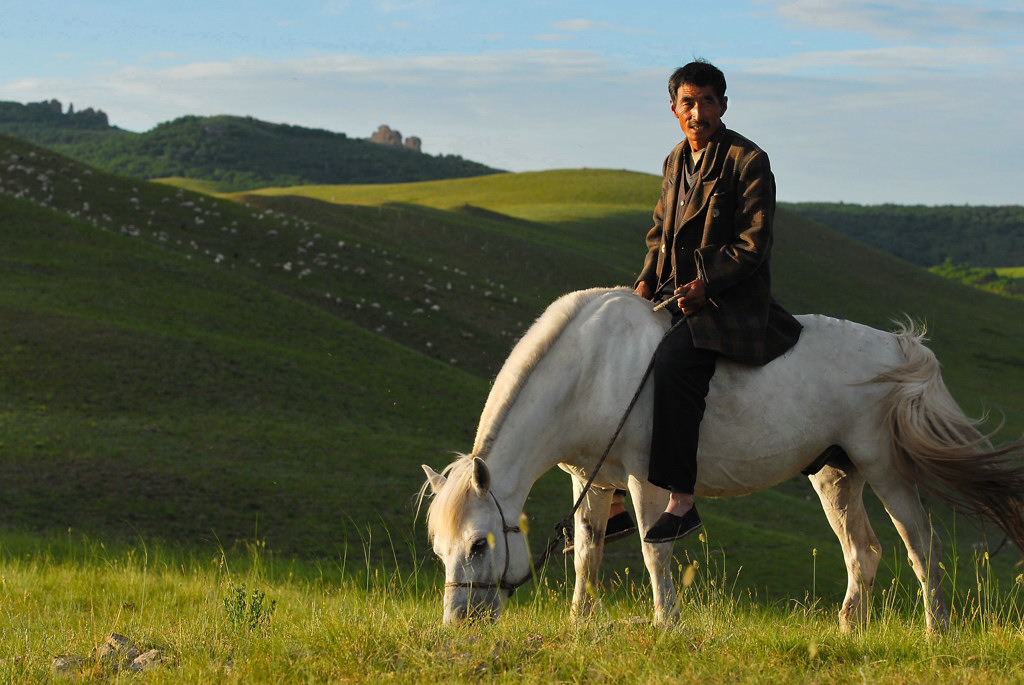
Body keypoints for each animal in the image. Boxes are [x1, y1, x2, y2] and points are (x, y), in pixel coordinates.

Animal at [417, 284, 1024, 630]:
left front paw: (667, 625)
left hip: (884, 467)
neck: (591, 369)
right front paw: (580, 624)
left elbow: (654, 551)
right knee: (864, 551)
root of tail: (898, 349)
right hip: (835, 473)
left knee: (923, 547)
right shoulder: (592, 479)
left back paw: (935, 631)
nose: (459, 624)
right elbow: (587, 554)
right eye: (440, 549)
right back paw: (850, 630)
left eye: (479, 544)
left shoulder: (644, 478)